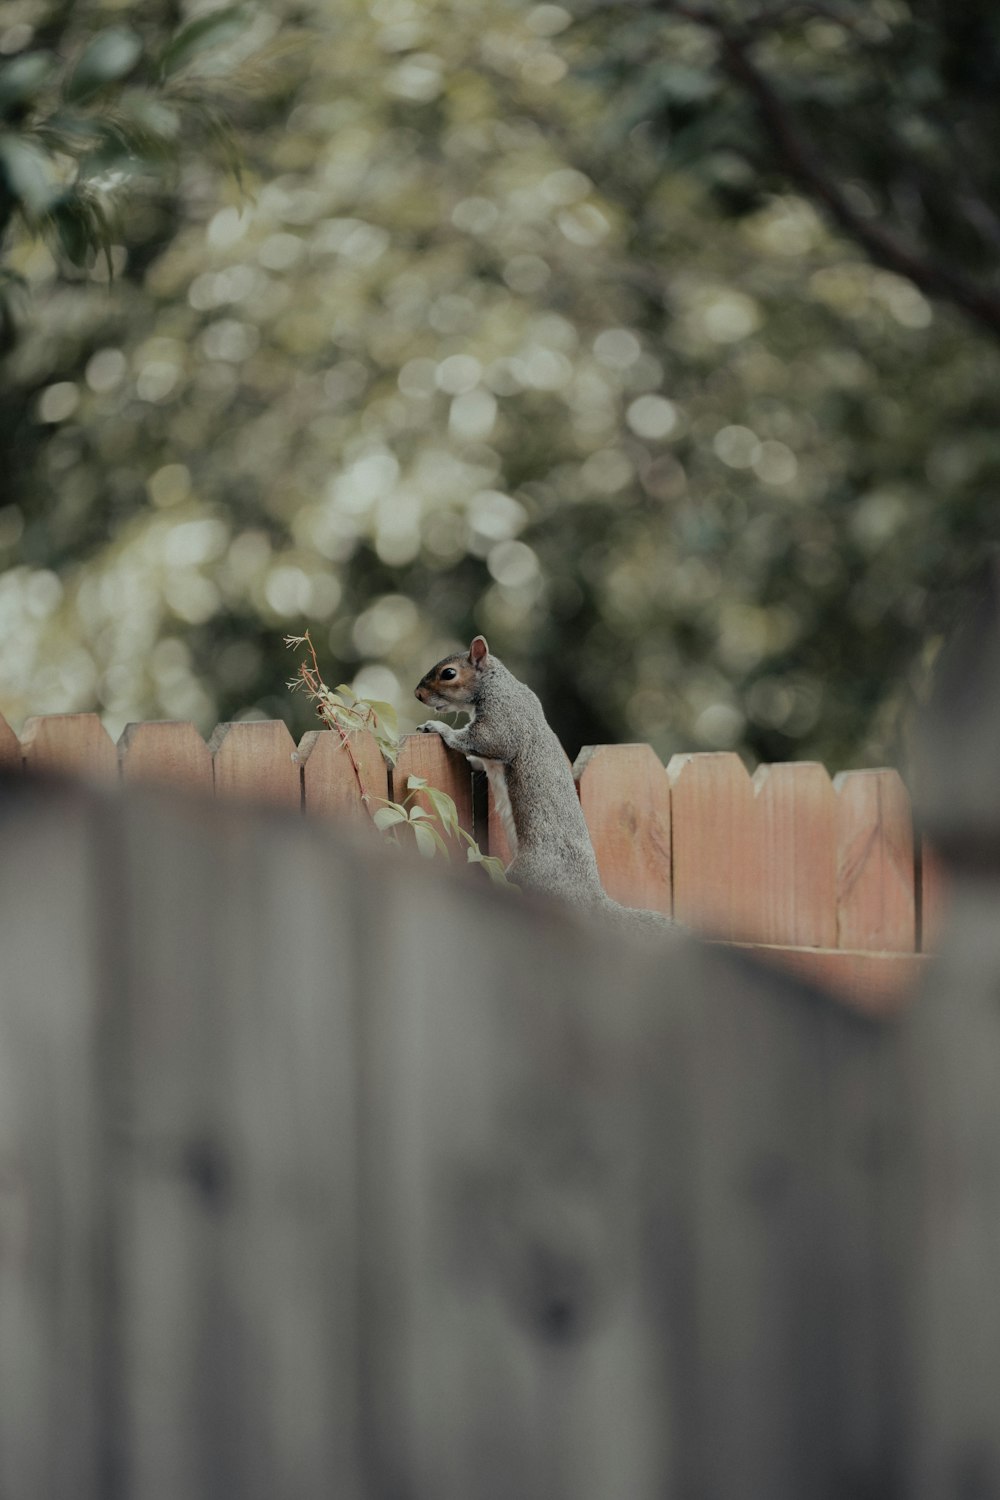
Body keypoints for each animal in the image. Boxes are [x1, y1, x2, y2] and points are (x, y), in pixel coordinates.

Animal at [413, 630, 671, 930]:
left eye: (449, 673)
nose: (418, 694)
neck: (497, 685)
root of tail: (591, 897)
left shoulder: (503, 722)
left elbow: (481, 741)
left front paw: (438, 727)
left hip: (530, 872)